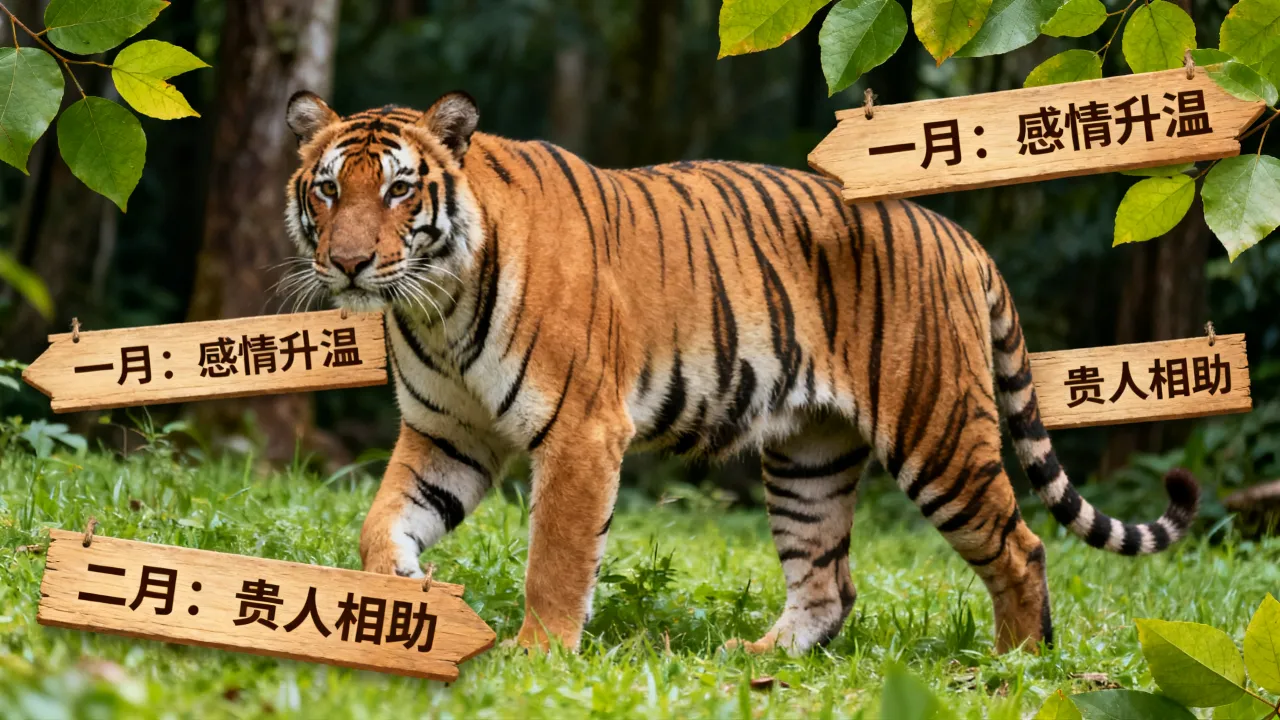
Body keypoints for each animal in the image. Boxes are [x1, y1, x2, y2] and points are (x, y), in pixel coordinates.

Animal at [283, 89, 1200, 655]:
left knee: (1022, 547)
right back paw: (759, 658)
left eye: (399, 190)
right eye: (327, 191)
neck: (434, 307)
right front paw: (397, 595)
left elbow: (557, 557)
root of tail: (959, 236)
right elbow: (382, 520)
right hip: (809, 457)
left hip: (939, 437)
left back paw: (1012, 669)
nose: (350, 263)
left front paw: (536, 654)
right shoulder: (448, 434)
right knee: (829, 582)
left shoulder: (581, 430)